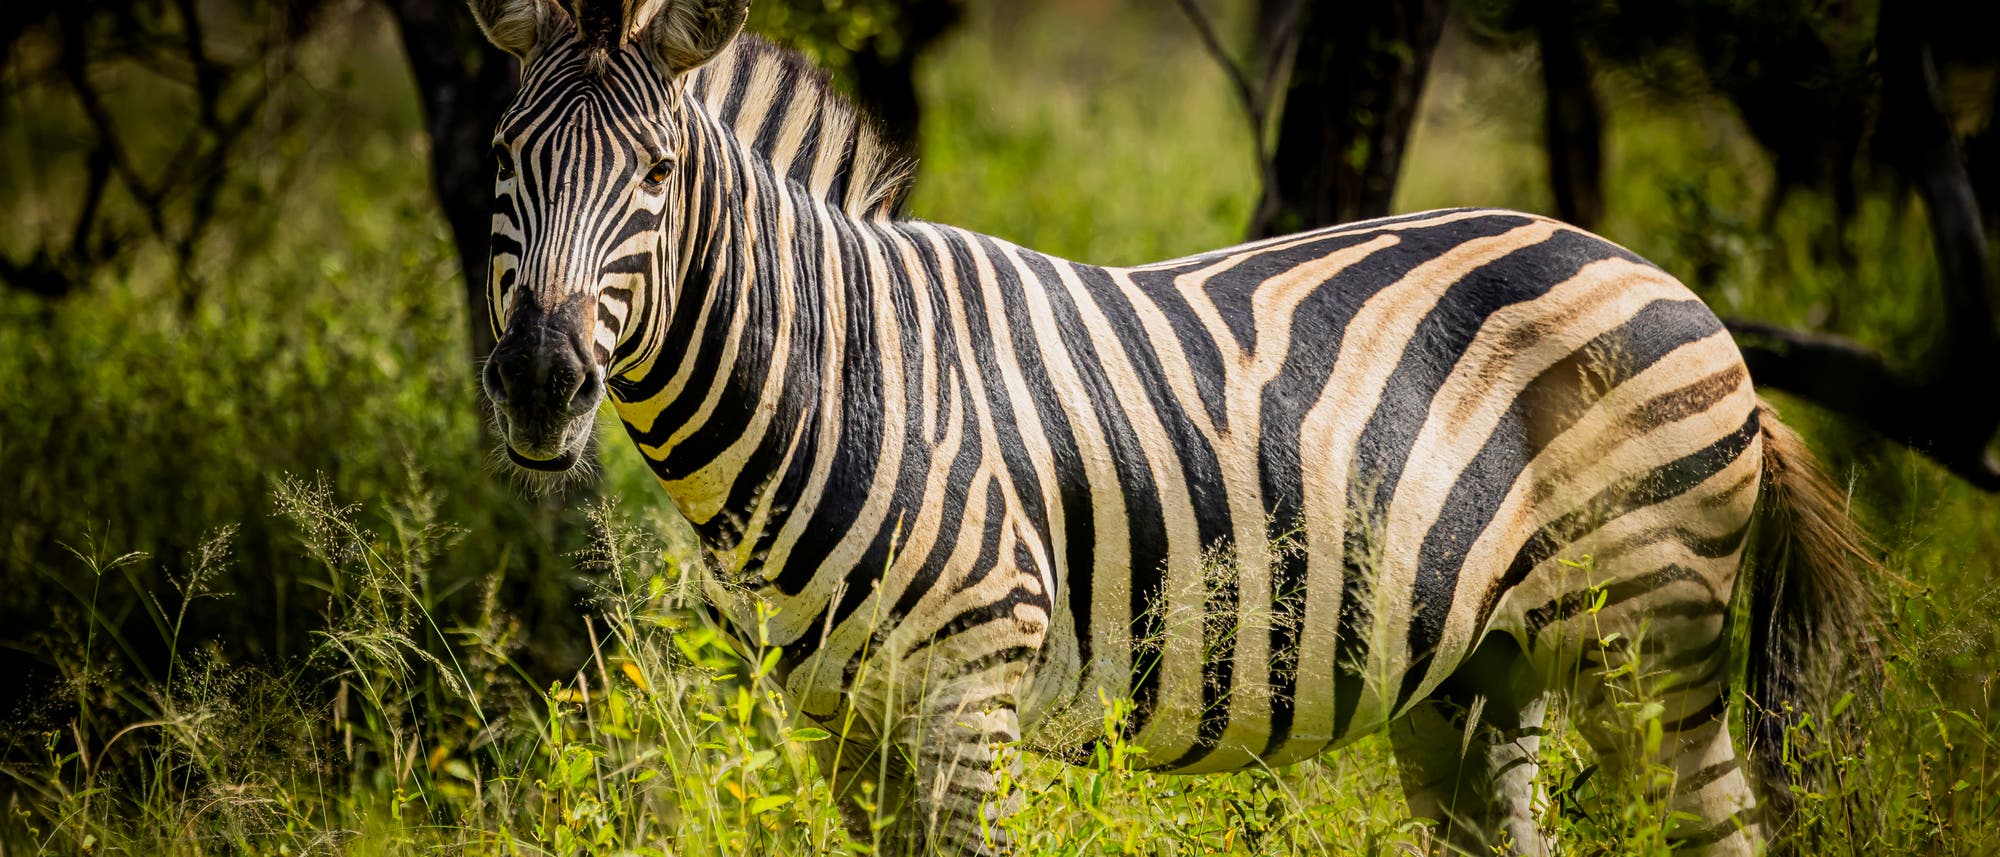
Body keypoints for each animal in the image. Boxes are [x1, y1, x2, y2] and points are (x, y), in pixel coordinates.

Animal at [467, 1, 1878, 853]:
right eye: (499, 157)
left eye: (657, 174)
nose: (538, 379)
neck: (844, 372)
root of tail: (1671, 286)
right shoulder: (837, 716)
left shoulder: (975, 683)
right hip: (1485, 672)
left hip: (1646, 635)